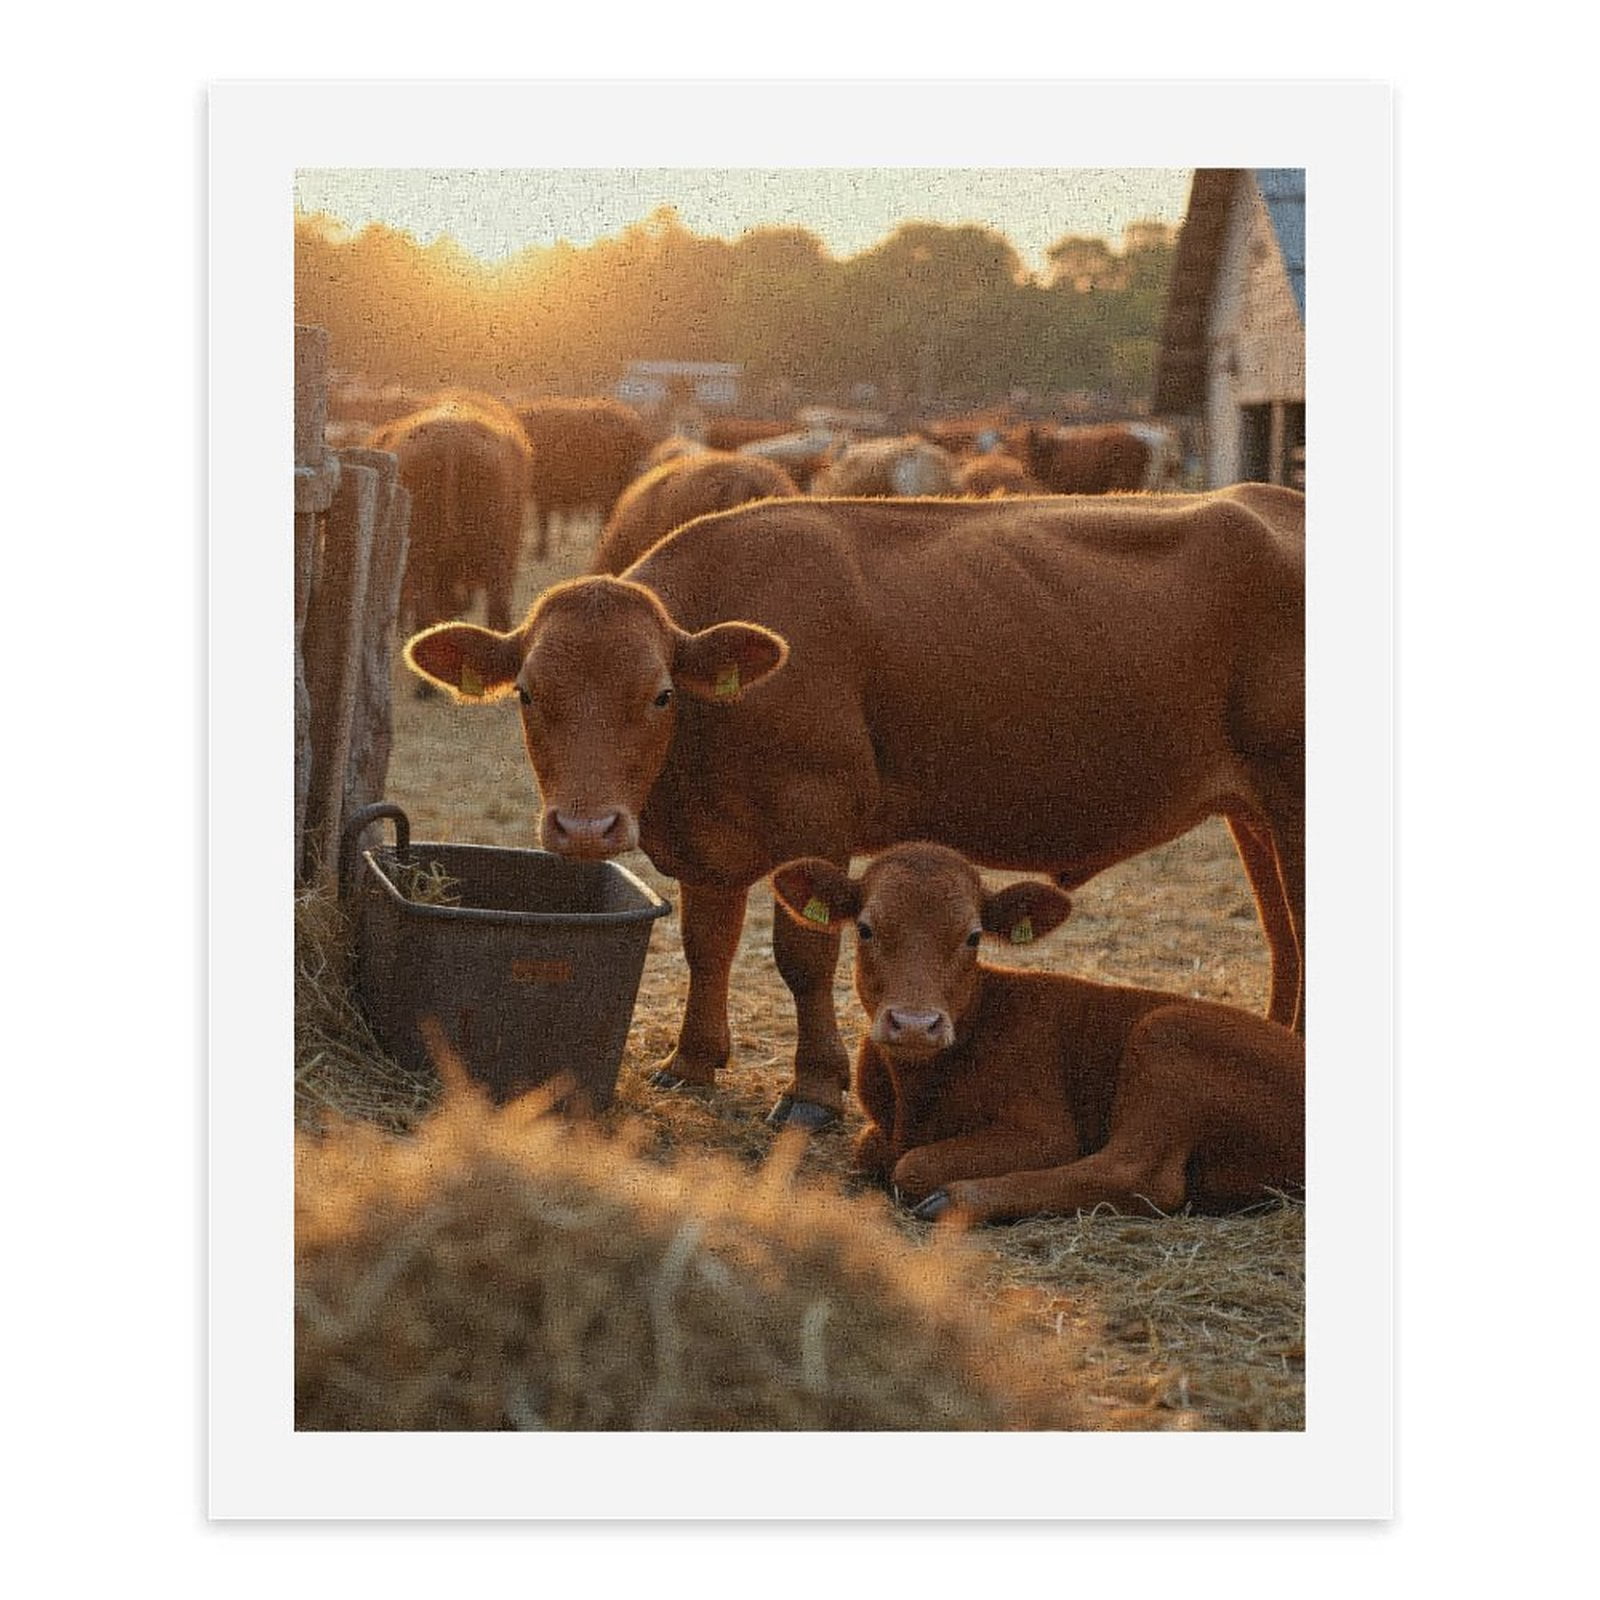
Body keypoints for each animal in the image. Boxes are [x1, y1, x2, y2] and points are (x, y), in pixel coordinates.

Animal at [403, 485, 1305, 1131]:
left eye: (660, 694)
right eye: (527, 693)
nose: (587, 827)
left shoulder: (817, 814)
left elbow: (804, 959)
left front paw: (813, 1090)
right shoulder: (711, 843)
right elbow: (706, 948)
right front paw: (693, 1061)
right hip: (1254, 812)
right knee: (1281, 933)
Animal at [770, 842, 1304, 1224]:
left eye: (973, 936)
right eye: (865, 929)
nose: (916, 1024)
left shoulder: (1045, 1132)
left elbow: (913, 1163)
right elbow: (871, 1148)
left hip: (1169, 1035)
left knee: (1141, 1175)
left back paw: (957, 1199)